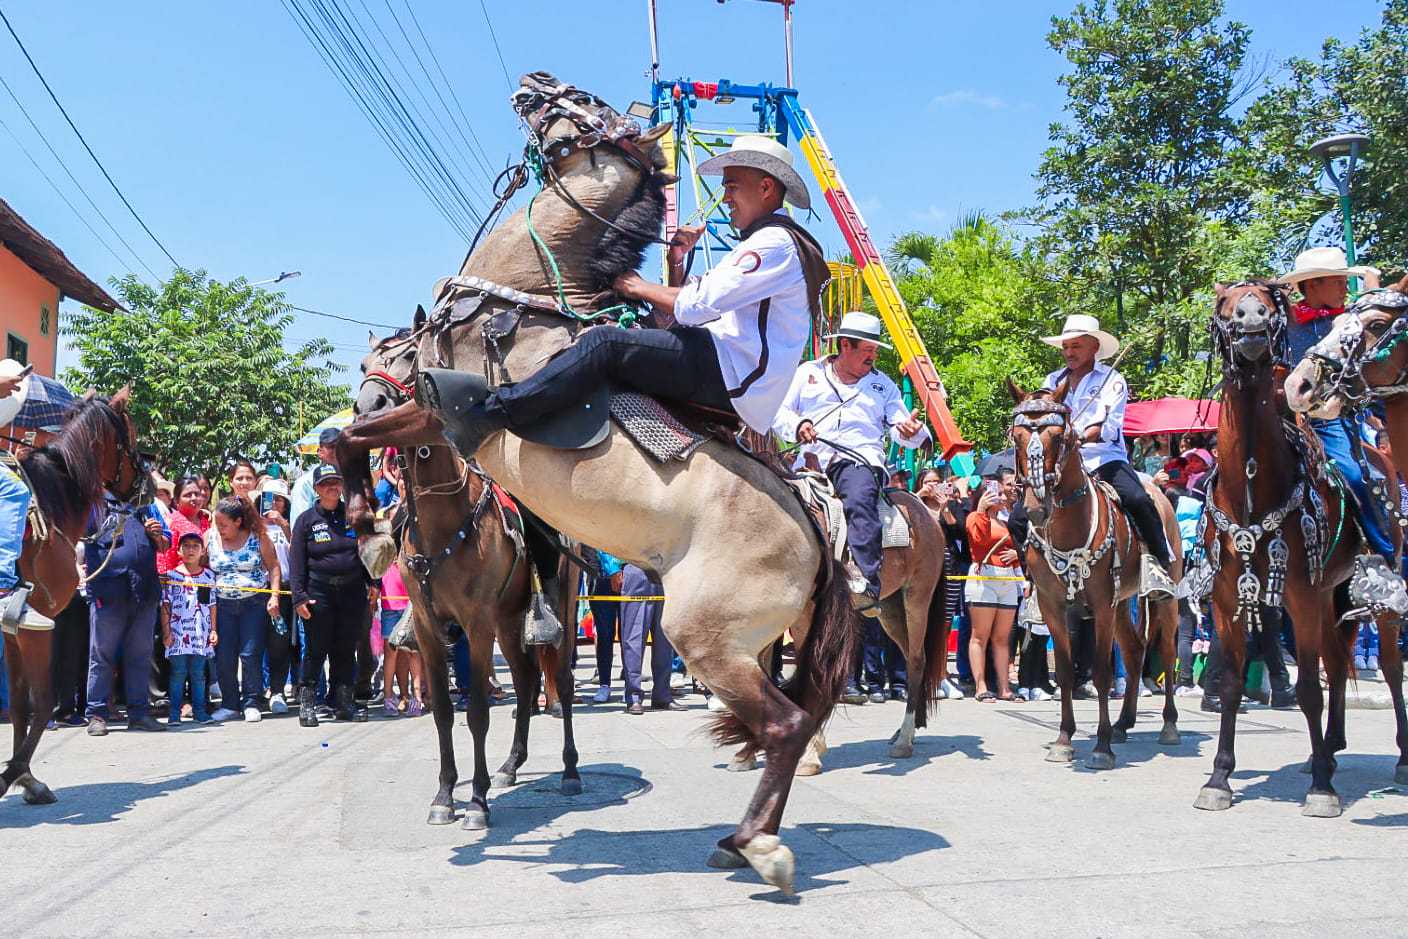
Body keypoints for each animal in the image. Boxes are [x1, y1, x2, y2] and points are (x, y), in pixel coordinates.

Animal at [2, 388, 151, 805]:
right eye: (131, 433)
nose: (147, 485)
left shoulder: (12, 634)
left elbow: (19, 705)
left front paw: (27, 778)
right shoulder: (36, 624)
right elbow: (41, 703)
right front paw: (15, 775)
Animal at [357, 324, 581, 829]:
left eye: (410, 356)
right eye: (364, 364)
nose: (367, 406)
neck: (445, 517)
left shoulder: (476, 624)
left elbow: (476, 711)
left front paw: (476, 802)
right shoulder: (428, 626)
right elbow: (443, 710)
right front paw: (445, 795)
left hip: (559, 605)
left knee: (560, 680)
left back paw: (570, 771)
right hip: (507, 619)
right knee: (526, 681)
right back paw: (511, 765)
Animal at [1006, 381, 1184, 769]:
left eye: (1060, 436)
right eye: (1017, 436)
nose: (1035, 507)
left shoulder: (1102, 605)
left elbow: (1101, 672)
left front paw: (1101, 748)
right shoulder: (1056, 607)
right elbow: (1068, 671)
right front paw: (1064, 740)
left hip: (1162, 600)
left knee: (1165, 650)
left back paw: (1168, 726)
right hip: (1122, 604)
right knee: (1134, 651)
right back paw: (1124, 723)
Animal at [1201, 280, 1369, 816]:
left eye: (1267, 299)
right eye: (1225, 304)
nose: (1252, 319)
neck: (1252, 486)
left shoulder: (1300, 596)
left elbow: (1308, 691)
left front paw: (1321, 790)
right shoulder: (1227, 599)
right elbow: (1231, 684)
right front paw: (1219, 778)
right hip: (1333, 597)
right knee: (1337, 663)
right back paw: (1329, 751)